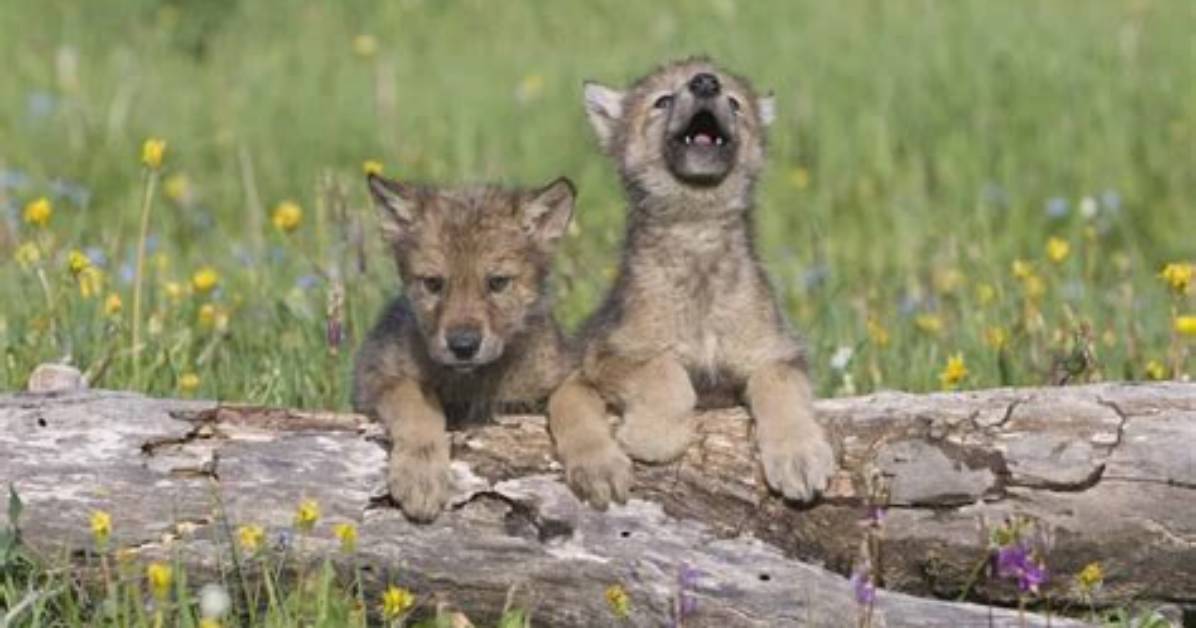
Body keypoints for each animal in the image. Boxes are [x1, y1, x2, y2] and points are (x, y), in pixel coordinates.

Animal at [354, 173, 576, 522]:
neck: (473, 382)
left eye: (498, 282)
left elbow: (574, 397)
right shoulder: (375, 376)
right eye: (433, 283)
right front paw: (421, 476)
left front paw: (601, 464)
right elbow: (414, 401)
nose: (463, 346)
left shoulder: (561, 372)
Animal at [548, 58, 836, 508]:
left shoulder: (778, 353)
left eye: (734, 102)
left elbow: (780, 386)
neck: (697, 235)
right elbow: (665, 371)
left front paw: (800, 456)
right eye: (662, 100)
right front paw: (654, 437)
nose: (705, 82)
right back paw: (600, 469)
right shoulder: (610, 353)